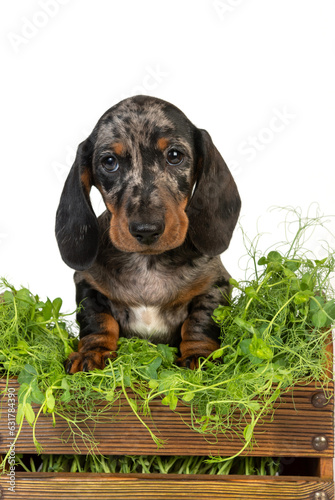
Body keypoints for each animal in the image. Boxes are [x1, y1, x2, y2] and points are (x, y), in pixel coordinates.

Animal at [56, 95, 243, 374]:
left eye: (174, 156)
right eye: (109, 162)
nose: (146, 230)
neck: (147, 264)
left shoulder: (214, 284)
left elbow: (200, 322)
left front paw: (199, 354)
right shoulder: (88, 284)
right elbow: (98, 320)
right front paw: (93, 351)